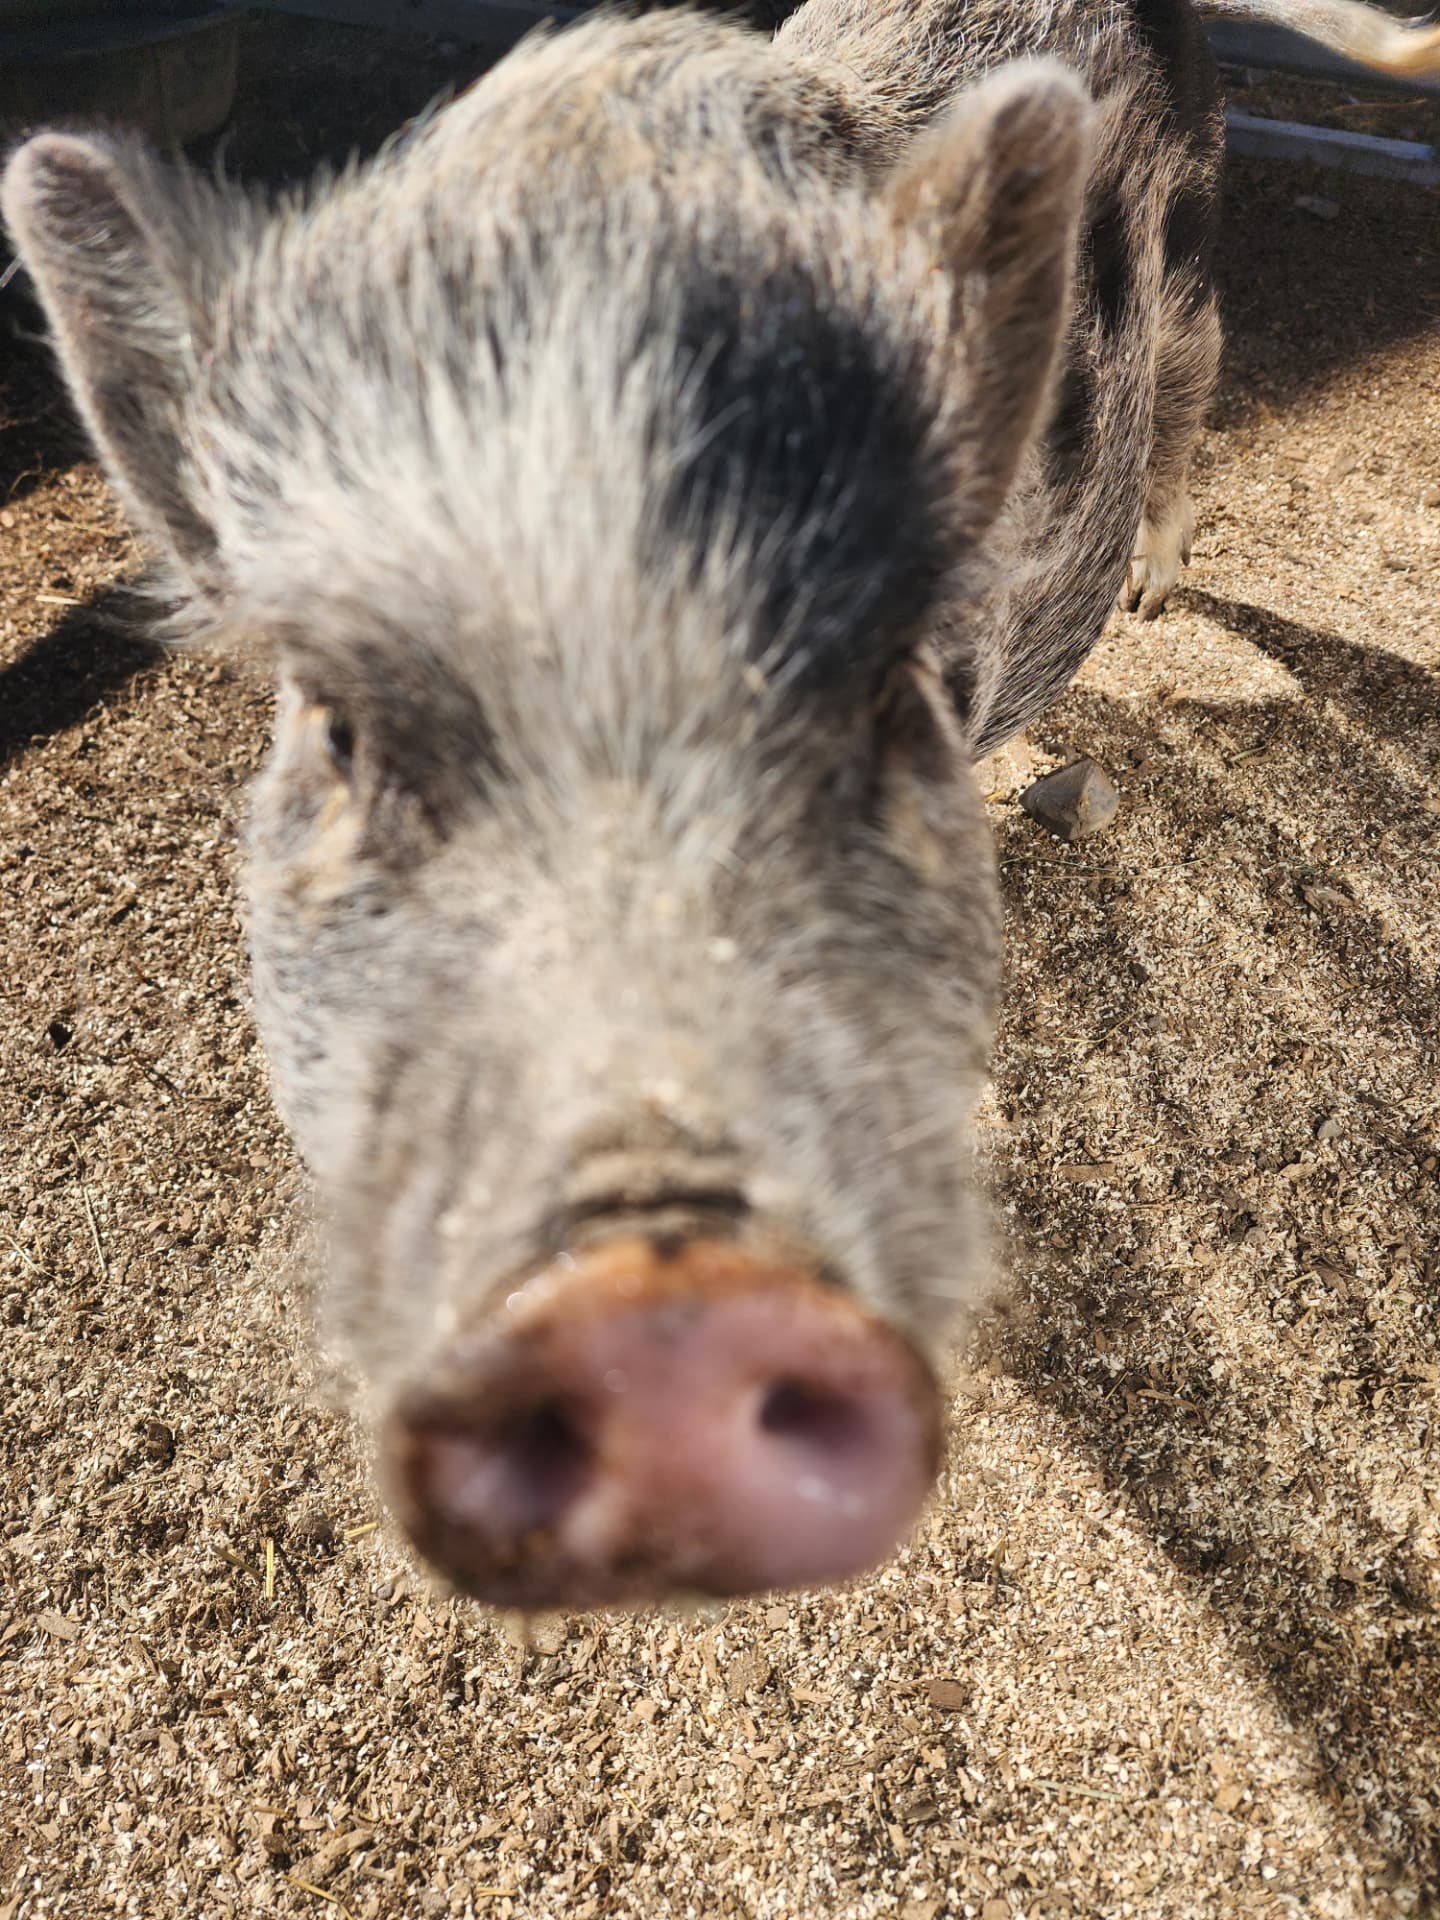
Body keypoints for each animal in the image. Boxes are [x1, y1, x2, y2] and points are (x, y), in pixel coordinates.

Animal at [4, 0, 1437, 1613]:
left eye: (877, 693)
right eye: (347, 727)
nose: (655, 1285)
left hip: (1189, 273)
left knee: (1200, 378)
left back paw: (1151, 593)